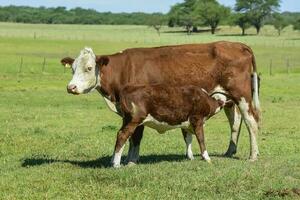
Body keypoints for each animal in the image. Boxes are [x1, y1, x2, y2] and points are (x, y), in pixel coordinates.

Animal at [61, 41, 260, 166]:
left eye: (88, 68)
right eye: (73, 69)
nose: (71, 87)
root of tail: (238, 44)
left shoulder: (138, 112)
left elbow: (135, 137)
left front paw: (131, 161)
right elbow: (131, 137)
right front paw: (127, 159)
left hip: (242, 96)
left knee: (251, 122)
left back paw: (253, 155)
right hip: (228, 99)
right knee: (235, 122)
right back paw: (230, 151)